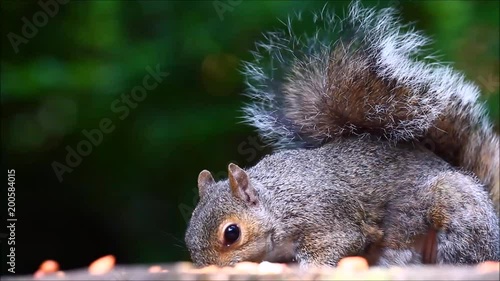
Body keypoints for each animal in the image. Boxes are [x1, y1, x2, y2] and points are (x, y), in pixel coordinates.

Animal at [184, 0, 500, 266]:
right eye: (188, 237)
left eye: (232, 233)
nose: (209, 269)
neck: (277, 204)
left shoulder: (326, 218)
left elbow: (337, 244)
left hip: (453, 209)